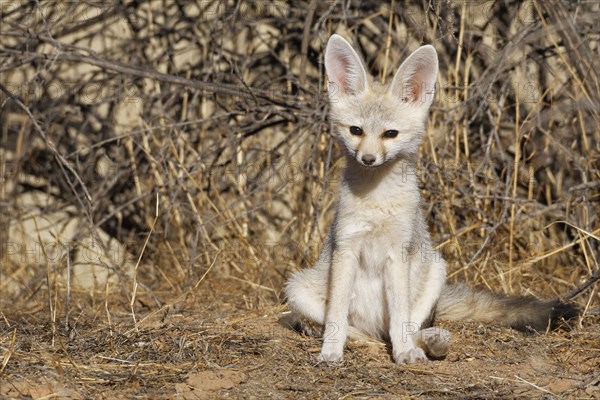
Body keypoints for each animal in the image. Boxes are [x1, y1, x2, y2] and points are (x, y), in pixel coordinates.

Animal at [284, 35, 580, 366]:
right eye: (356, 130)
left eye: (390, 134)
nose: (369, 159)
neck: (376, 201)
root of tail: (374, 327)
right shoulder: (345, 248)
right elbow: (335, 317)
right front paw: (331, 351)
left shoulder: (399, 252)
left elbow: (400, 317)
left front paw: (403, 353)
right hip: (297, 286)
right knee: (350, 329)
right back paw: (361, 340)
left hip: (436, 269)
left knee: (404, 329)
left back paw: (427, 343)